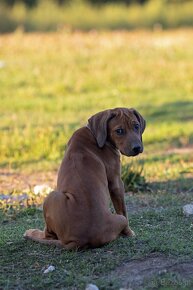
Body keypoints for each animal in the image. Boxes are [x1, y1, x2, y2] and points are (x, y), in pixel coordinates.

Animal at [23, 108, 145, 249]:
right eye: (119, 131)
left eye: (136, 126)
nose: (137, 148)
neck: (95, 135)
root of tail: (79, 241)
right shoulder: (116, 182)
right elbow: (122, 209)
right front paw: (129, 233)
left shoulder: (116, 183)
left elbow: (122, 208)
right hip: (51, 197)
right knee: (48, 235)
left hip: (52, 197)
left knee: (48, 236)